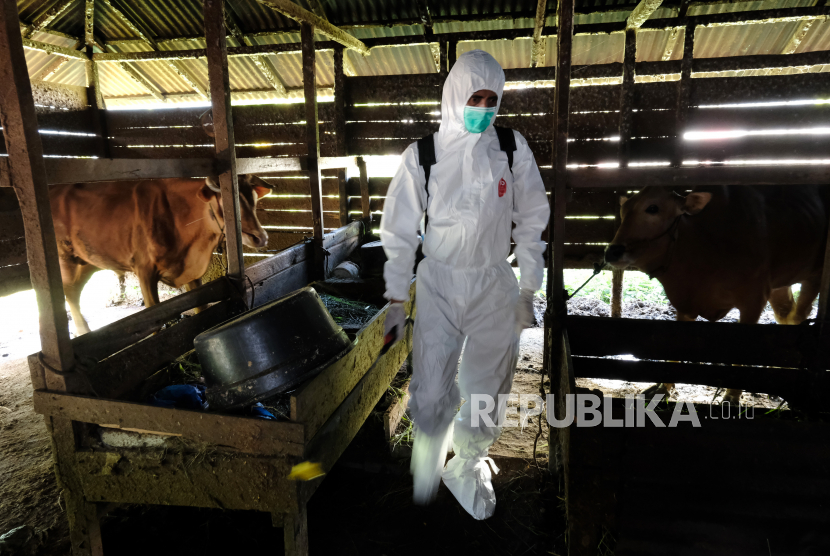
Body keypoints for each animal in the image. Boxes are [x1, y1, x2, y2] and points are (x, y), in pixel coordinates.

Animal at [51, 176, 272, 336]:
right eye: (225, 204)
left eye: (253, 200)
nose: (261, 237)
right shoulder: (144, 270)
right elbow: (153, 321)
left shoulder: (192, 272)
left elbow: (202, 309)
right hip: (64, 260)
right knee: (68, 292)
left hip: (87, 262)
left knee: (73, 293)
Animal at [604, 186, 830, 404]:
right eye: (623, 212)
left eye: (652, 208)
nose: (612, 252)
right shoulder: (685, 303)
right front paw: (663, 388)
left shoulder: (753, 301)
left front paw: (732, 395)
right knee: (785, 315)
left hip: (815, 276)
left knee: (798, 316)